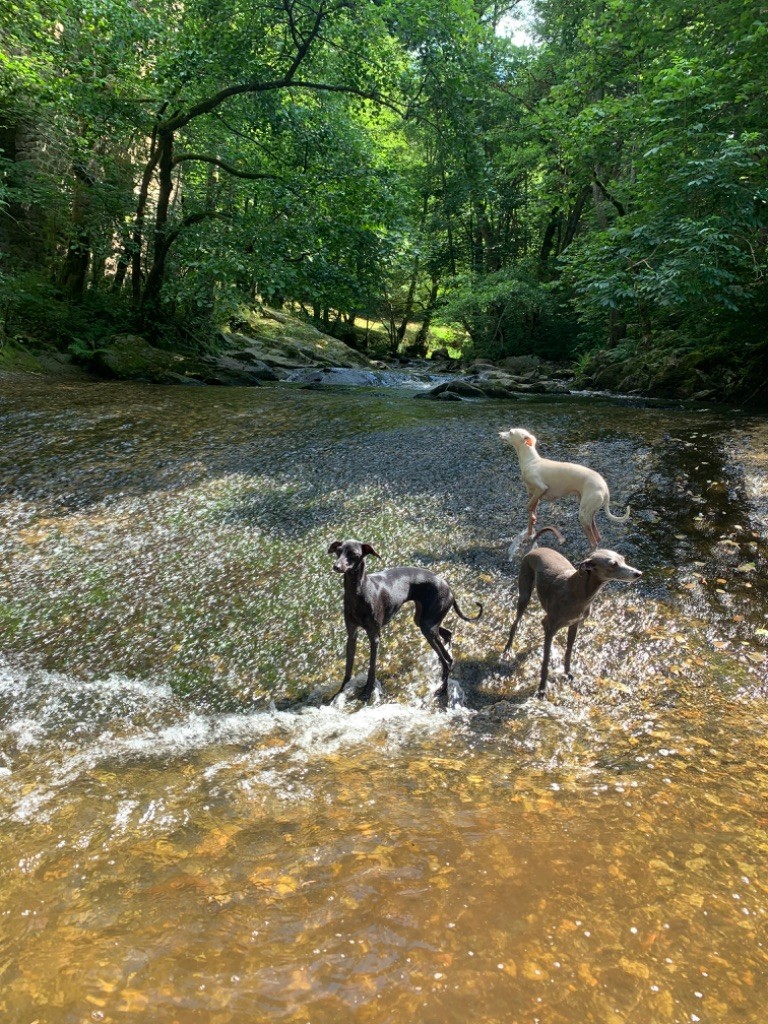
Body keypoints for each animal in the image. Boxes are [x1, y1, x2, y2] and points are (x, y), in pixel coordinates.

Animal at [329, 540, 481, 700]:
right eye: (338, 551)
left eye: (353, 554)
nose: (336, 566)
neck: (359, 591)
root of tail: (449, 588)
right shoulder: (351, 634)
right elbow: (348, 667)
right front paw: (340, 692)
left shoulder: (374, 636)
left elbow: (372, 667)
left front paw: (367, 692)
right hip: (423, 620)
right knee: (448, 639)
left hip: (428, 626)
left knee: (446, 660)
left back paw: (442, 688)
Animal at [499, 425, 630, 548]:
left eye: (510, 432)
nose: (499, 433)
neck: (531, 461)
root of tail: (606, 489)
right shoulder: (533, 494)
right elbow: (531, 512)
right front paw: (530, 531)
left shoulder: (541, 488)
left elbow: (528, 507)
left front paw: (532, 518)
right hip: (589, 511)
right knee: (597, 536)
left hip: (583, 515)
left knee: (593, 542)